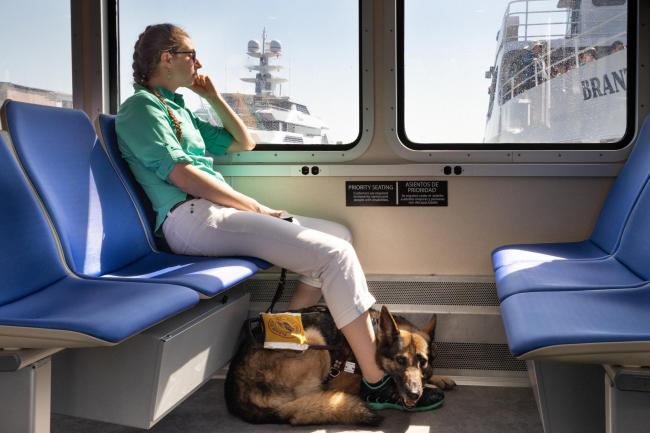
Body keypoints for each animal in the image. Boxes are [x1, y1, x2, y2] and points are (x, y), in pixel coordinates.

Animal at [225, 308, 454, 426]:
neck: (375, 341)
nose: (415, 394)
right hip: (314, 339)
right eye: (400, 361)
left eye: (422, 361)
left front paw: (439, 378)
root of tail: (235, 394)